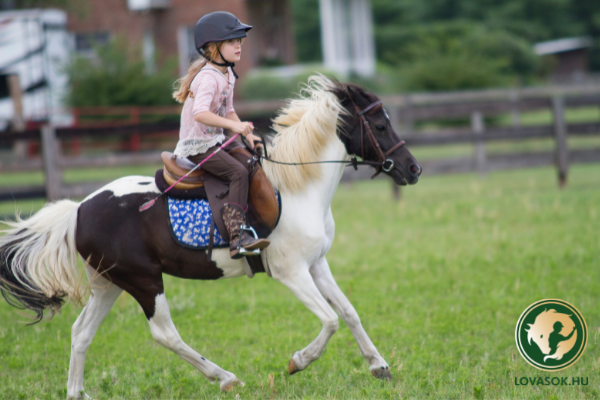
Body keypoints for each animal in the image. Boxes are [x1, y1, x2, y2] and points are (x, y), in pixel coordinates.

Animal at [1, 76, 422, 398]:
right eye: (380, 126)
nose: (413, 169)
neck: (297, 188)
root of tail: (79, 210)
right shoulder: (291, 272)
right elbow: (331, 320)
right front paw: (297, 362)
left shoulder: (317, 264)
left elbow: (348, 312)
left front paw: (379, 366)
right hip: (143, 281)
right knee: (164, 334)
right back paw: (226, 378)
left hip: (109, 283)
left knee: (81, 334)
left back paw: (77, 392)